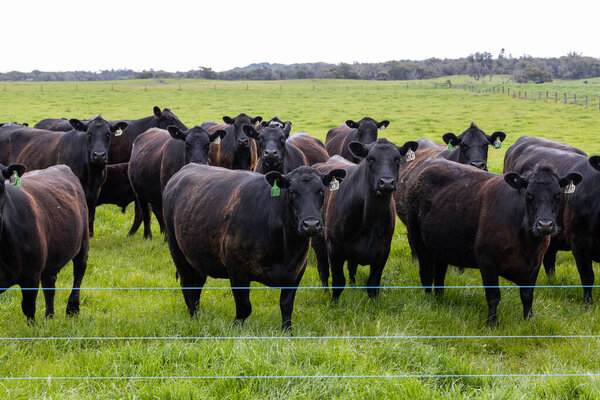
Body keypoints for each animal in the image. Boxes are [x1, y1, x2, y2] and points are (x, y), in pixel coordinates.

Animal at [0, 164, 88, 320]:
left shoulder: (31, 275)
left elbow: (28, 307)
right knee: (49, 286)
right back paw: (49, 317)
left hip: (83, 243)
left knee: (79, 272)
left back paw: (72, 310)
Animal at [163, 164, 342, 330]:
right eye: (291, 191)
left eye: (322, 191)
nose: (311, 224)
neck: (286, 250)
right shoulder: (237, 270)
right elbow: (244, 307)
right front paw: (234, 329)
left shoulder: (297, 271)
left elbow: (286, 305)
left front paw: (287, 332)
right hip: (177, 250)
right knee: (187, 285)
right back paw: (194, 319)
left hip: (197, 256)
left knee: (197, 284)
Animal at [310, 139, 418, 298]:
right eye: (370, 158)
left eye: (397, 159)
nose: (386, 182)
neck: (370, 220)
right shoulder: (333, 247)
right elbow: (337, 281)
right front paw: (333, 302)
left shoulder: (383, 250)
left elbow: (373, 284)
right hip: (318, 240)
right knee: (323, 269)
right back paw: (325, 293)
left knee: (351, 267)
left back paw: (353, 287)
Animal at [404, 159, 580, 324]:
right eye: (529, 195)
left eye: (558, 195)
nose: (545, 225)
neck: (528, 245)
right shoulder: (487, 262)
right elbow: (494, 296)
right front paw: (492, 323)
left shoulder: (535, 263)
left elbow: (527, 296)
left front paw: (528, 321)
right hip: (418, 240)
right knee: (426, 272)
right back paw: (429, 302)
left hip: (441, 244)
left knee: (439, 272)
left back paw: (439, 299)